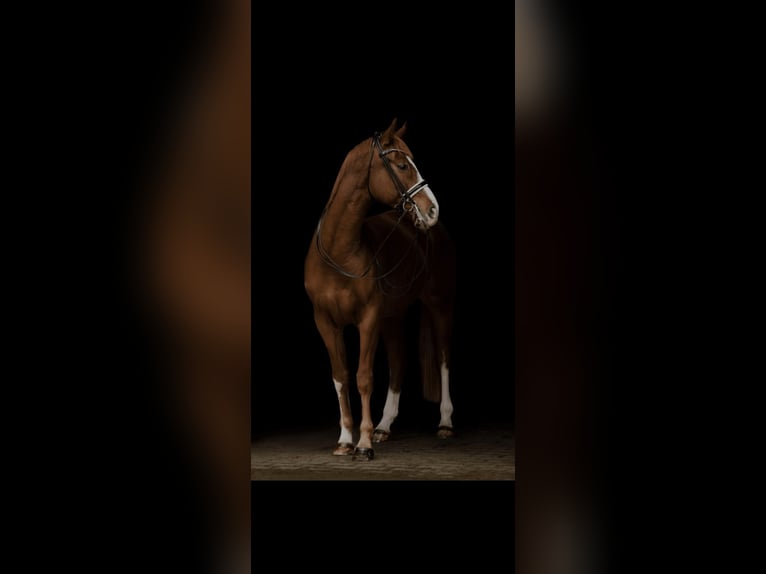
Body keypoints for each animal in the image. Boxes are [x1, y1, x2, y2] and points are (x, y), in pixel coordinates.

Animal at [304, 118, 457, 460]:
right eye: (402, 165)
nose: (432, 210)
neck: (339, 253)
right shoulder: (326, 323)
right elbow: (341, 377)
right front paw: (345, 440)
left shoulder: (368, 320)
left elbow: (364, 377)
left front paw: (363, 444)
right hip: (393, 317)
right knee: (399, 361)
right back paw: (384, 427)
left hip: (438, 304)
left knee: (443, 358)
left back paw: (444, 423)